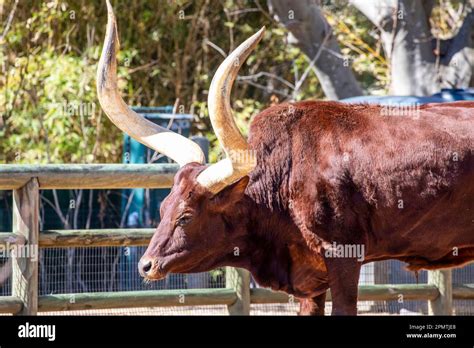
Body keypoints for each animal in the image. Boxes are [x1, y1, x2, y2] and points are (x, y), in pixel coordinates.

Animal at [97, 0, 474, 316]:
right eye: (163, 208)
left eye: (186, 217)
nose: (146, 265)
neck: (287, 174)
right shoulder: (311, 280)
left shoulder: (344, 256)